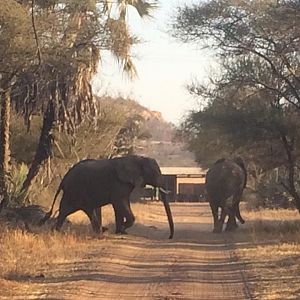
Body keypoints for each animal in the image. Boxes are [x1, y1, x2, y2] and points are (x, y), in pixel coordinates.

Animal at [41, 155, 175, 239]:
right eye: (154, 173)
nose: (169, 237)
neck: (137, 158)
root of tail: (64, 179)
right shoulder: (119, 183)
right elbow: (120, 203)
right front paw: (122, 229)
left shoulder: (125, 184)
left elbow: (121, 204)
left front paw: (121, 231)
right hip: (77, 190)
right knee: (83, 209)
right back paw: (100, 232)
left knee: (67, 210)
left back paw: (55, 231)